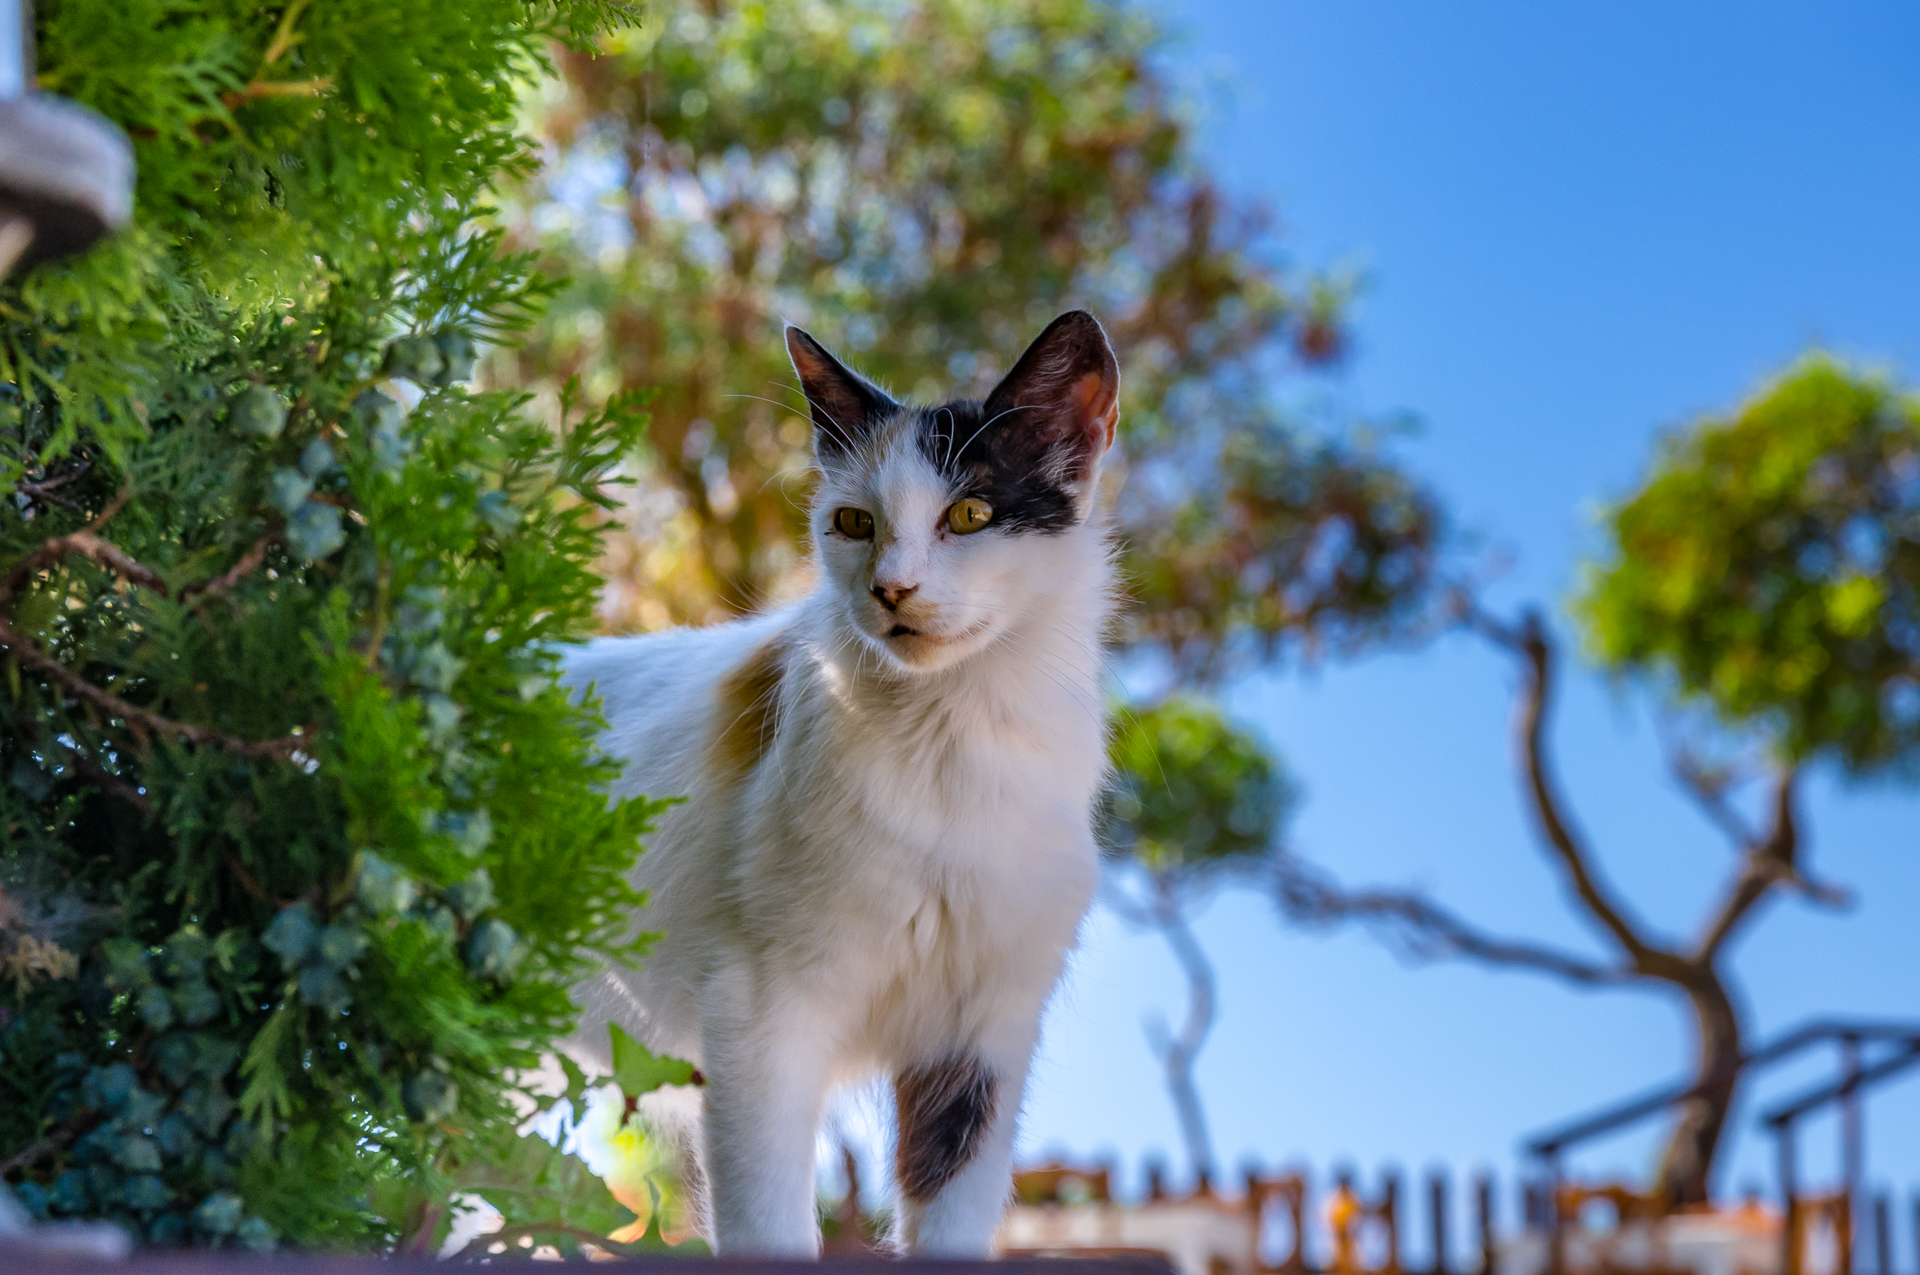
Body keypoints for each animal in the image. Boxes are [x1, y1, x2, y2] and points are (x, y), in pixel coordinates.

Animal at [560, 309, 1121, 1251]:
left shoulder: (978, 1042)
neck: (951, 743)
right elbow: (770, 1225)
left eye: (971, 513)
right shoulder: (758, 1018)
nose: (892, 589)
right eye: (853, 522)